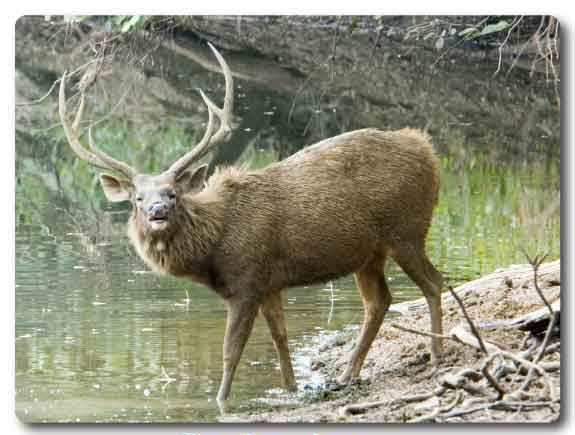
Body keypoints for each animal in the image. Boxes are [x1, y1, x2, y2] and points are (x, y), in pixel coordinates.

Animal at [58, 43, 446, 406]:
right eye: (137, 198)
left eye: (172, 193)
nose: (157, 210)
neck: (212, 249)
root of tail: (428, 150)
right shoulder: (270, 283)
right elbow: (280, 338)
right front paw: (291, 388)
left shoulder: (246, 282)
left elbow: (231, 351)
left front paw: (220, 400)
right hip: (369, 253)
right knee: (379, 301)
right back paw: (348, 373)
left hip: (407, 230)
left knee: (434, 282)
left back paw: (437, 353)